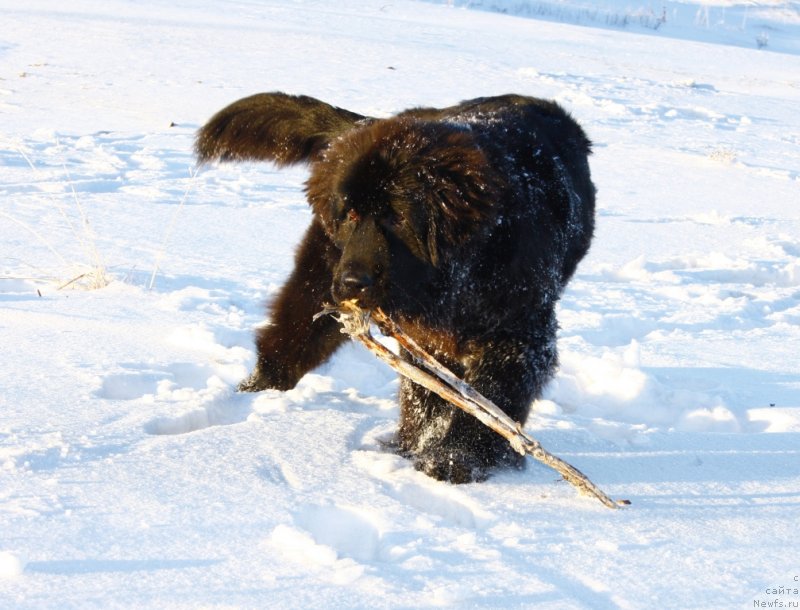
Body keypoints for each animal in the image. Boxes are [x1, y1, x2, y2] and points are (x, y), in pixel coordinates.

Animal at [195, 91, 592, 480]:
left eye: (396, 217)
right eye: (351, 214)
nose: (352, 282)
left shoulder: (516, 336)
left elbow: (488, 399)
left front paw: (451, 457)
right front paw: (439, 454)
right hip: (320, 280)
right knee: (287, 344)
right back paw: (250, 399)